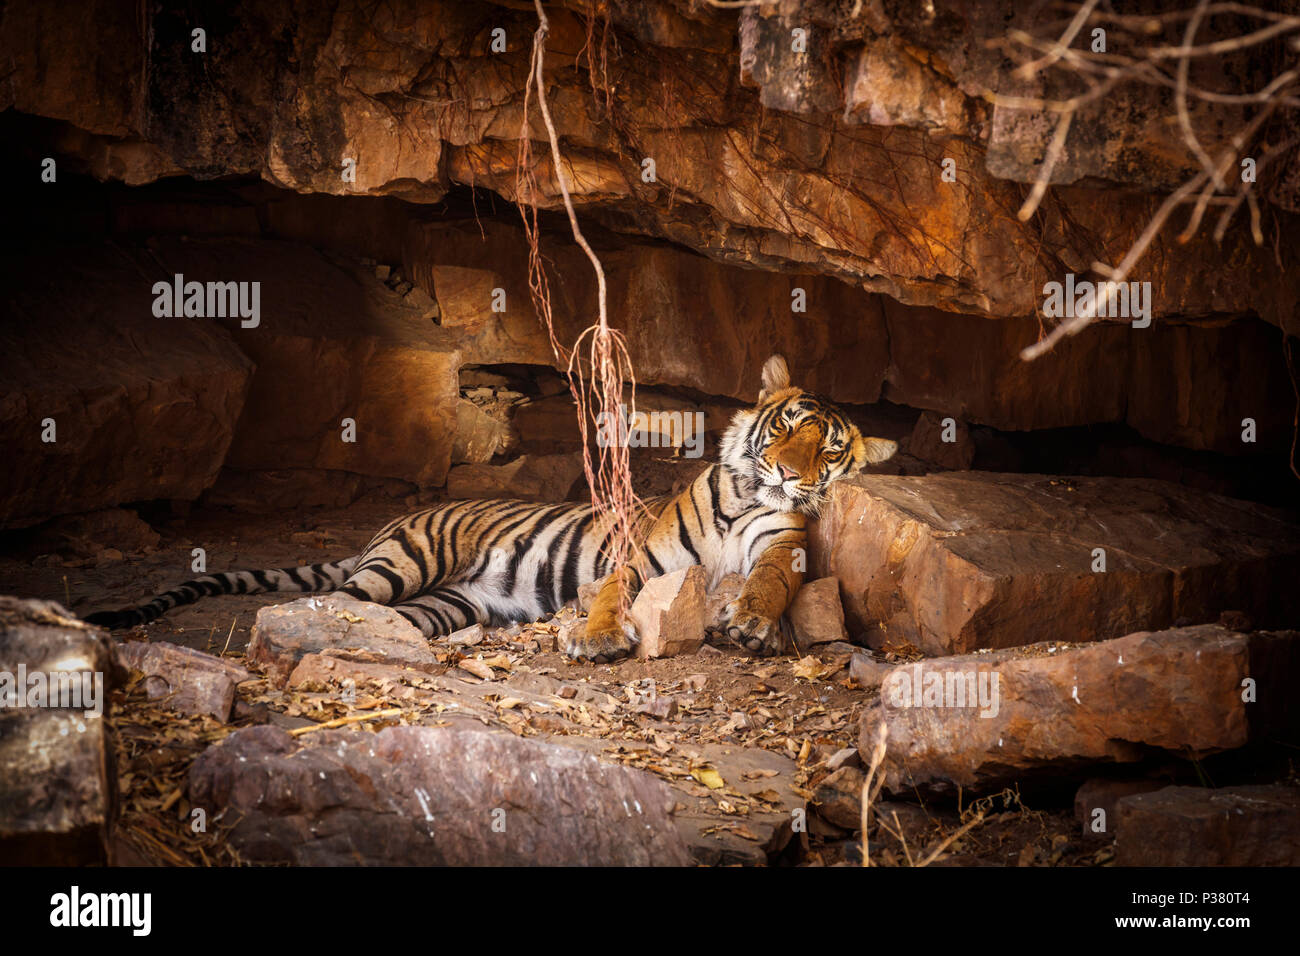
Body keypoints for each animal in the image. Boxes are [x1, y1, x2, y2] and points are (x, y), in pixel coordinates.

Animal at [81, 356, 894, 660]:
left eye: (829, 452)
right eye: (788, 427)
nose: (787, 473)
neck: (745, 499)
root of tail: (388, 524)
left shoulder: (782, 543)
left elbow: (772, 580)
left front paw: (752, 622)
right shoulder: (643, 557)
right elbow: (610, 595)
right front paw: (600, 638)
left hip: (443, 603)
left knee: (386, 619)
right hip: (405, 563)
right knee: (327, 604)